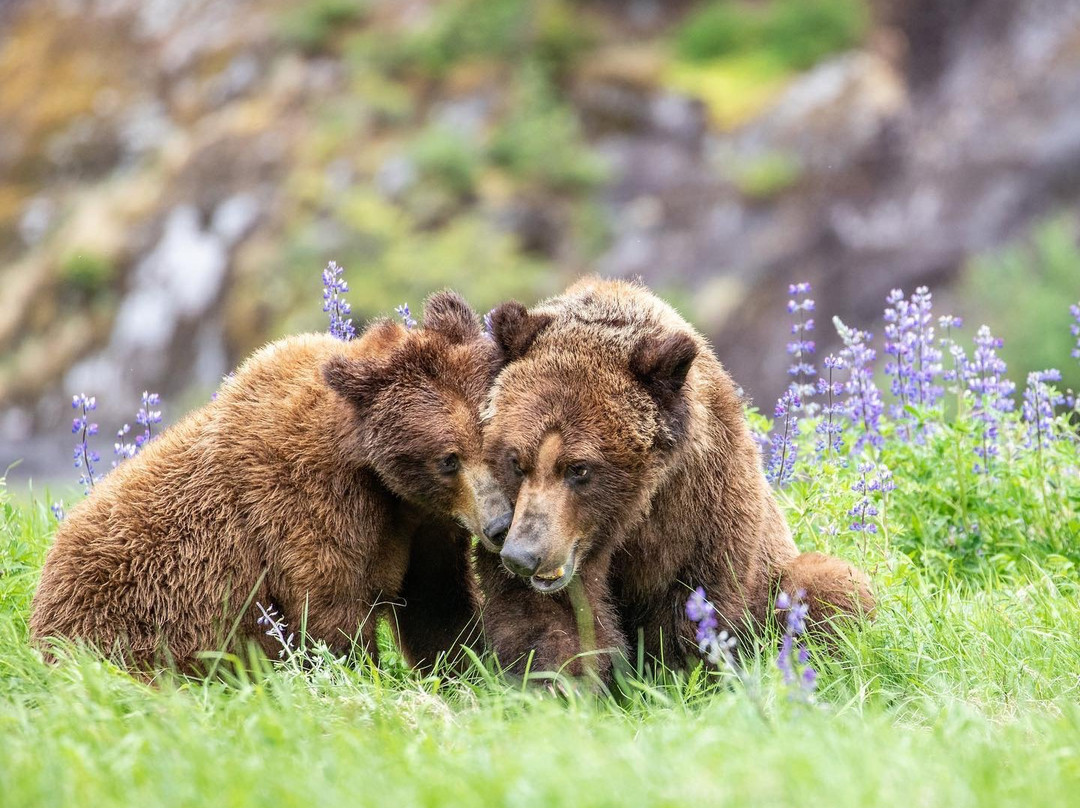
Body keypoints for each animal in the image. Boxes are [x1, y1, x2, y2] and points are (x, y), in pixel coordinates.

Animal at [30, 291, 511, 674]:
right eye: (448, 459)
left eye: (496, 444)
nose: (500, 525)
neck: (381, 481)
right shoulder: (308, 507)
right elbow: (329, 616)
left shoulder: (426, 524)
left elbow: (439, 606)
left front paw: (470, 671)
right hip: (121, 621)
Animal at [476, 277, 873, 683]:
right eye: (516, 461)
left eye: (579, 467)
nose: (523, 555)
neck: (633, 513)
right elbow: (554, 619)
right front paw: (562, 681)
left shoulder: (702, 509)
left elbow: (692, 609)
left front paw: (679, 677)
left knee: (826, 585)